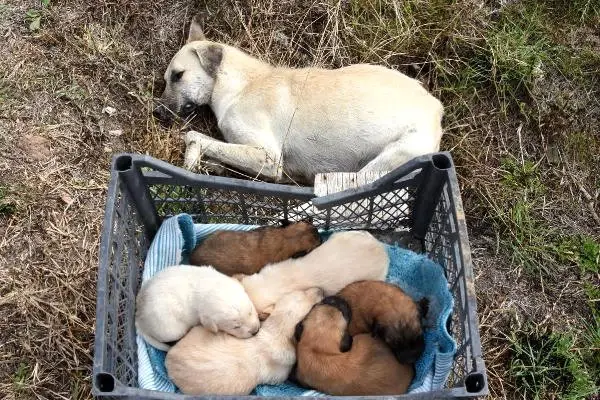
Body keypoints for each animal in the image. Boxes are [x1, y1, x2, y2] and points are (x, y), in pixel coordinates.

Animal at [155, 16, 446, 184]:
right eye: (167, 78)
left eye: (178, 75)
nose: (157, 112)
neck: (240, 86)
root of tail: (436, 107)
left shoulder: (268, 158)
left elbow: (194, 136)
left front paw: (191, 160)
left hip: (378, 168)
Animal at [164, 288, 324, 394]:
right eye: (312, 307)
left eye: (302, 291)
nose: (321, 290)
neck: (277, 331)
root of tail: (169, 360)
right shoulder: (280, 374)